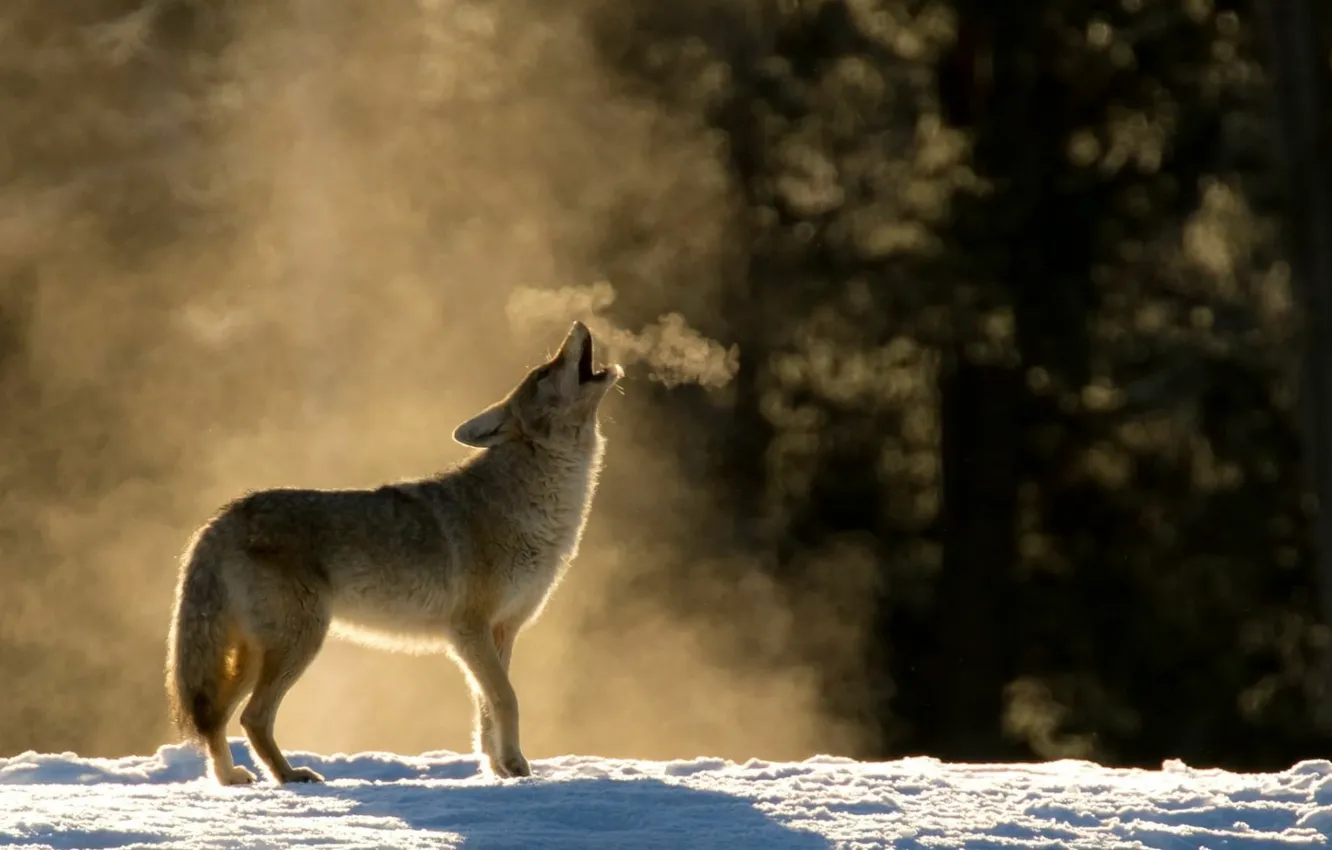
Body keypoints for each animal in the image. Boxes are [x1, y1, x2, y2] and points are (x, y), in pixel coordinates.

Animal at [165, 321, 621, 785]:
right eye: (544, 372)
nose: (579, 325)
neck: (530, 503)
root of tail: (219, 520)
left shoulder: (501, 632)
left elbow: (487, 710)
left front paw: (496, 769)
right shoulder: (469, 631)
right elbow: (506, 699)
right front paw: (515, 768)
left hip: (257, 655)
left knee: (217, 717)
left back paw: (231, 778)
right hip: (299, 643)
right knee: (250, 718)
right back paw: (290, 775)